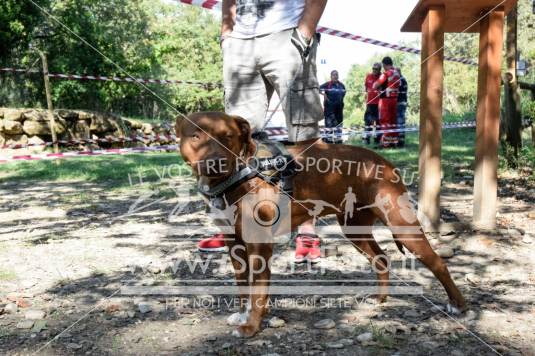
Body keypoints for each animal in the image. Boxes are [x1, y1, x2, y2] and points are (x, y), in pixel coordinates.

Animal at [176, 112, 464, 338]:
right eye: (195, 136)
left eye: (228, 137)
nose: (215, 161)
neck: (239, 175)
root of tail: (384, 161)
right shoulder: (234, 243)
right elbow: (242, 286)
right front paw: (242, 314)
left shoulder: (259, 246)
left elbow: (258, 292)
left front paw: (251, 326)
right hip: (354, 229)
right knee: (381, 259)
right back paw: (380, 298)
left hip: (402, 226)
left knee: (437, 262)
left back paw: (458, 305)